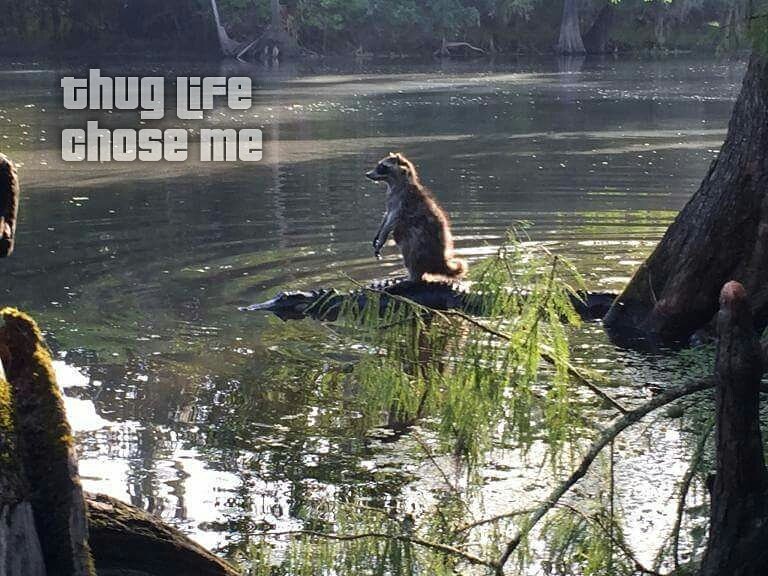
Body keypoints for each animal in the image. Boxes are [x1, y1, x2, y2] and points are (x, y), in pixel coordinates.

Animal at [365, 153, 467, 281]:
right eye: (379, 165)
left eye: (382, 166)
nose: (367, 174)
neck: (394, 183)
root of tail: (440, 262)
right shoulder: (390, 200)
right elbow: (386, 216)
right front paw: (378, 234)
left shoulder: (402, 201)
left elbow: (391, 220)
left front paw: (382, 238)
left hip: (421, 244)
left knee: (411, 251)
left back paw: (413, 275)